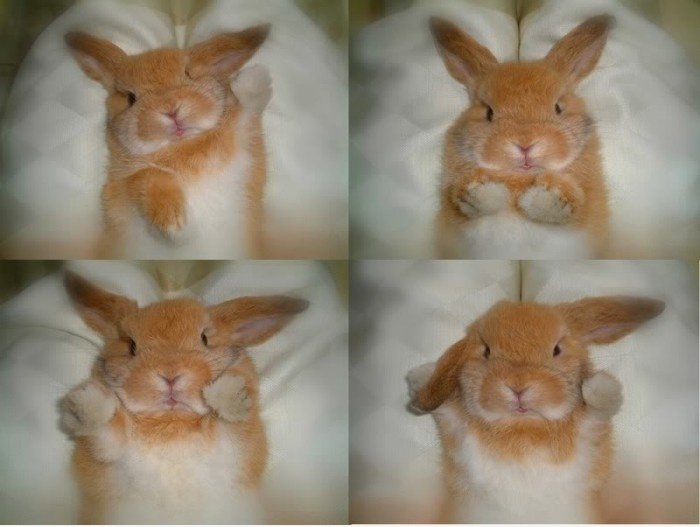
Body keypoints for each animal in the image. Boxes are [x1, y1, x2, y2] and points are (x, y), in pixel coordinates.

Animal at [58, 271, 308, 524]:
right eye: (131, 345)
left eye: (205, 338)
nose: (170, 375)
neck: (171, 419)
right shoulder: (111, 452)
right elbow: (106, 432)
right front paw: (85, 404)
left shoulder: (236, 445)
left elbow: (232, 421)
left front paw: (228, 391)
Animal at [65, 25, 272, 258]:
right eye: (130, 98)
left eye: (189, 74)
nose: (171, 110)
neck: (180, 147)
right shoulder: (118, 190)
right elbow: (146, 177)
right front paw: (176, 227)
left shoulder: (245, 146)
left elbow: (247, 110)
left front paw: (255, 77)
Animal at [406, 295, 664, 523]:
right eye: (487, 351)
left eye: (557, 349)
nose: (518, 387)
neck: (524, 426)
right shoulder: (459, 433)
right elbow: (446, 409)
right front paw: (419, 375)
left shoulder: (591, 429)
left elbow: (604, 401)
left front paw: (593, 385)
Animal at [431, 15, 614, 259]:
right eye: (488, 112)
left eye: (558, 107)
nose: (525, 145)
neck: (519, 179)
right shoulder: (453, 219)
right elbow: (462, 204)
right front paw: (483, 189)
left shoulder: (587, 215)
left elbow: (575, 209)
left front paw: (544, 195)